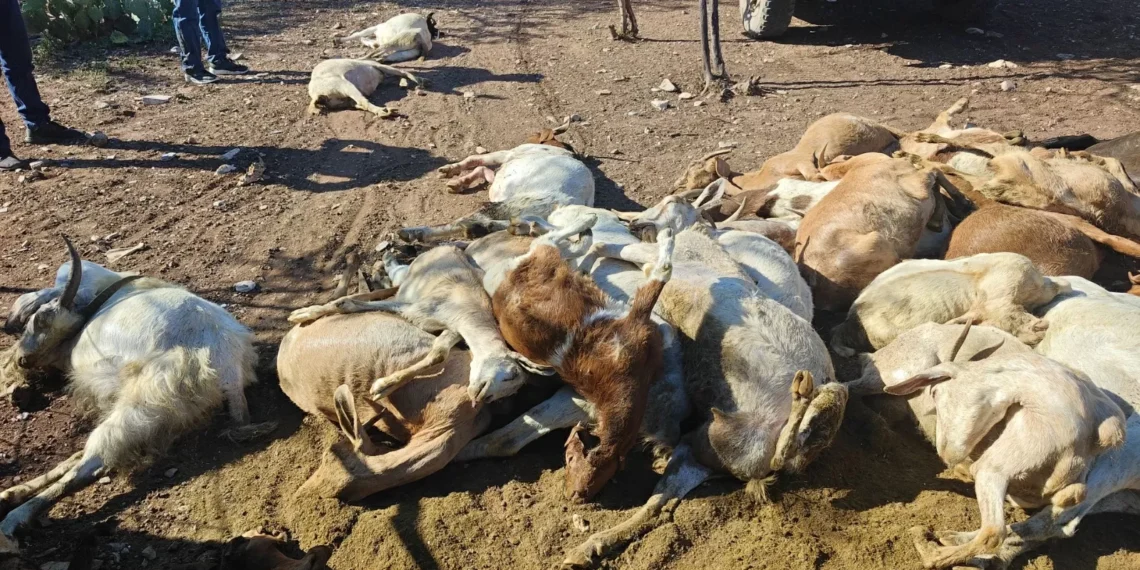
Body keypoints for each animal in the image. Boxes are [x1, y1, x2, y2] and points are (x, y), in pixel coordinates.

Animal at [0, 239, 273, 537]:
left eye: (40, 320)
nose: (25, 360)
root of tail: (229, 370)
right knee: (85, 455)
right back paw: (12, 494)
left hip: (142, 403)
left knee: (93, 463)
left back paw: (13, 518)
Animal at [288, 244, 541, 403]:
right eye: (510, 374)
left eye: (512, 389)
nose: (483, 397)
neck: (468, 309)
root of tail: (448, 247)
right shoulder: (417, 307)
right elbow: (346, 304)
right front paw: (303, 314)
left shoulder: (453, 328)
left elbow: (438, 354)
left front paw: (384, 386)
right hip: (411, 277)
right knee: (395, 275)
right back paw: (383, 261)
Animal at [398, 130, 594, 243]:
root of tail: (569, 202)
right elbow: (482, 170)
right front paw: (459, 182)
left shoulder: (507, 154)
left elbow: (475, 160)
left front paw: (450, 171)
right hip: (526, 212)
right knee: (519, 224)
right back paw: (483, 229)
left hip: (512, 204)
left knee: (462, 221)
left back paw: (414, 233)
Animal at [485, 215, 674, 502]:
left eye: (572, 458)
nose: (573, 495)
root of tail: (499, 287)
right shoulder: (637, 322)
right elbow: (661, 275)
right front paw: (665, 241)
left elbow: (661, 282)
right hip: (541, 254)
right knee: (555, 240)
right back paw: (584, 223)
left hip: (542, 256)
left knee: (561, 243)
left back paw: (580, 229)